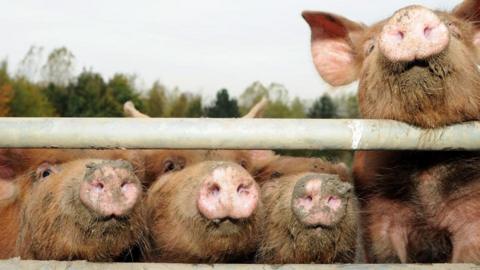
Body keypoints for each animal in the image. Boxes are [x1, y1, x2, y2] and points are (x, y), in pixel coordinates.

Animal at [304, 0, 480, 262]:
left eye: (455, 30)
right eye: (370, 47)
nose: (410, 12)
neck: (423, 160)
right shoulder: (377, 210)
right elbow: (385, 254)